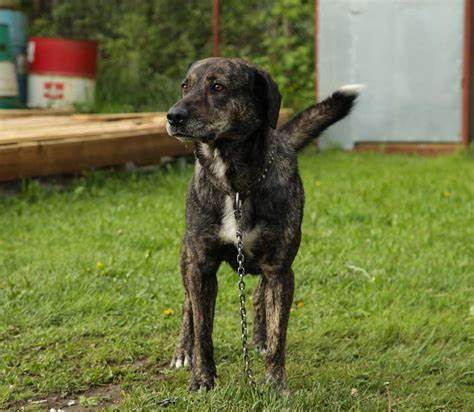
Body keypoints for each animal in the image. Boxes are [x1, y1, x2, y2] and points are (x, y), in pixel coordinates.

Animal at [165, 57, 362, 390]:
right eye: (185, 86)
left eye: (218, 86)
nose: (173, 116)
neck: (235, 186)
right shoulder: (201, 266)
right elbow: (203, 329)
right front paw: (203, 379)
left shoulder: (280, 269)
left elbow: (278, 331)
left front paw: (275, 382)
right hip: (186, 258)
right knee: (187, 306)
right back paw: (183, 351)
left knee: (259, 297)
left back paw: (258, 340)